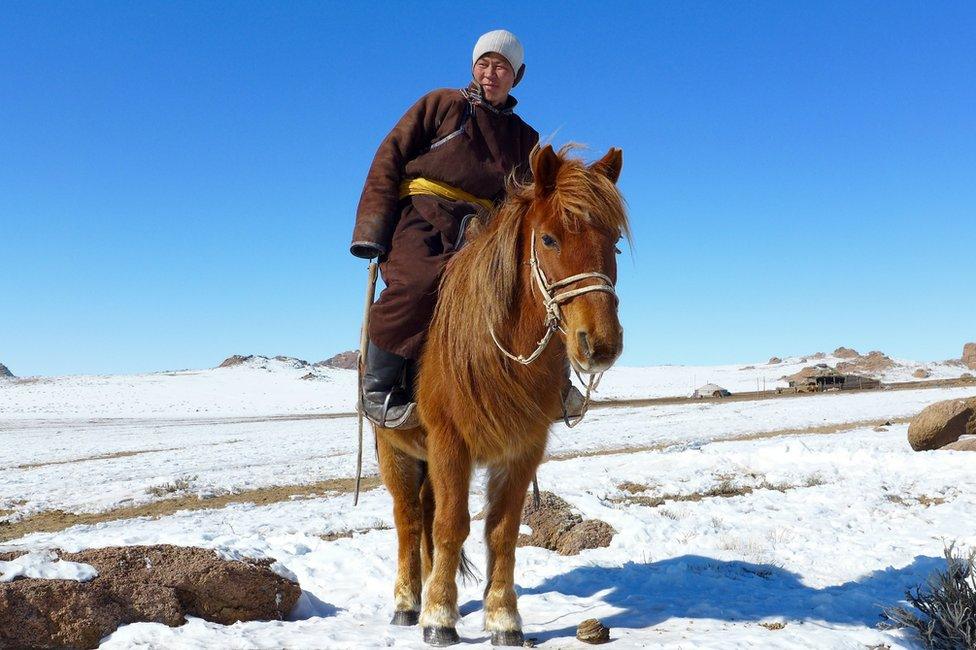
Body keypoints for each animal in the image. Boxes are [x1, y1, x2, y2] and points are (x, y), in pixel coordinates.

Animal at [370, 144, 628, 644]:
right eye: (548, 239)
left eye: (615, 244)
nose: (600, 344)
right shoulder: (450, 442)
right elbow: (451, 525)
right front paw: (438, 618)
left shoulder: (523, 448)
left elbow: (502, 532)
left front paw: (503, 618)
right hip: (395, 450)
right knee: (409, 519)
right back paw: (409, 603)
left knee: (424, 514)